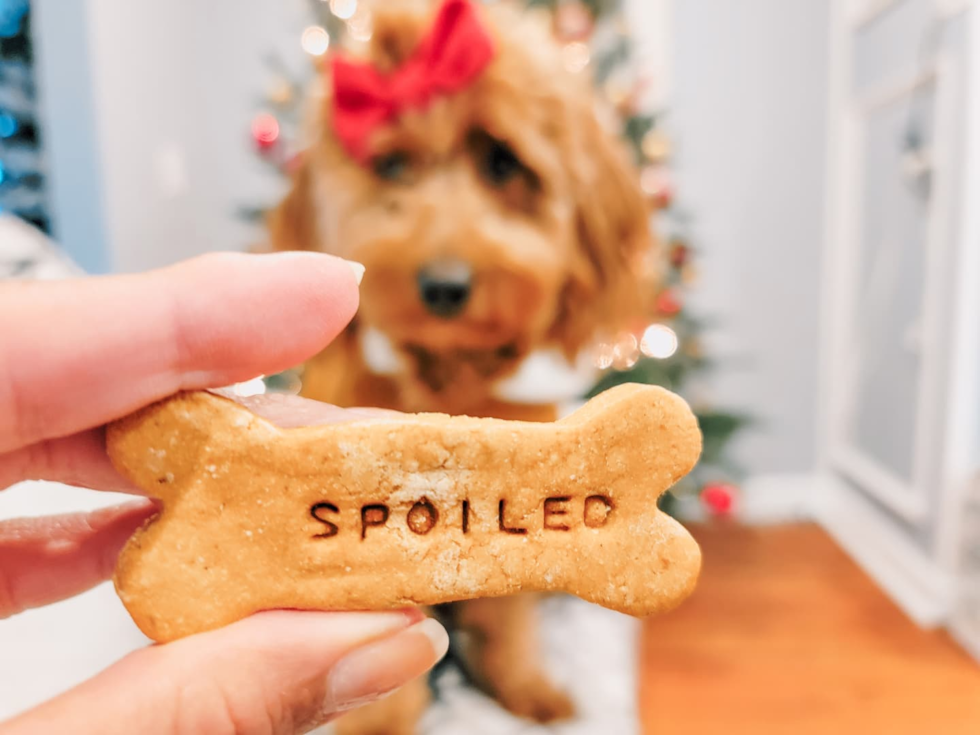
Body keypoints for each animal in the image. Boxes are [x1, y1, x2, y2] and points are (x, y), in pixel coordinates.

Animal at [266, 1, 660, 732]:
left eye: (503, 163)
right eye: (392, 165)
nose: (444, 286)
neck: (450, 376)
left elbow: (510, 610)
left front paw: (523, 685)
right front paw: (381, 720)